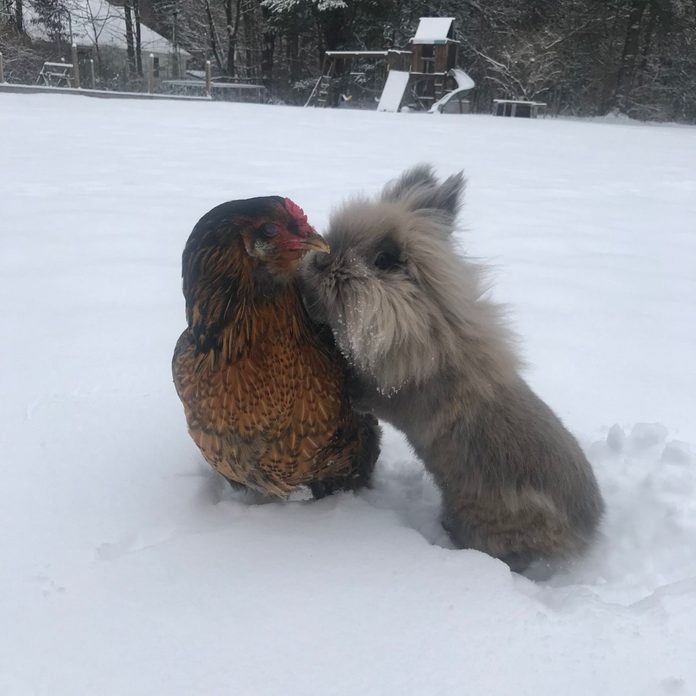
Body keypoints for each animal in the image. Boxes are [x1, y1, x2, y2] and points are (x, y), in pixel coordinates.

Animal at [301, 164, 604, 574]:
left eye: (383, 260)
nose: (318, 264)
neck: (425, 326)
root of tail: (587, 535)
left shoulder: (396, 395)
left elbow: (369, 393)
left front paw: (347, 382)